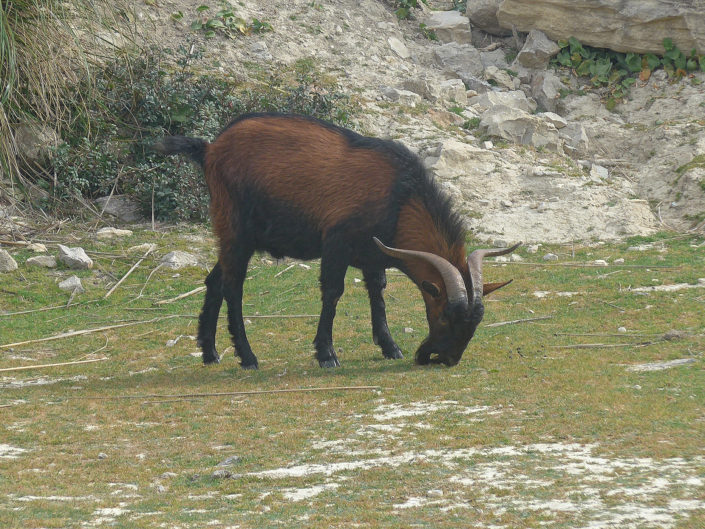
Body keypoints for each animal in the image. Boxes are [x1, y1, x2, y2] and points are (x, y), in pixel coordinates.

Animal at [154, 113, 519, 368]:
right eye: (443, 315)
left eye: (474, 324)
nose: (444, 358)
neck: (400, 196)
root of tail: (210, 149)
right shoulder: (336, 244)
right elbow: (333, 293)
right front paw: (326, 353)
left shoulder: (373, 254)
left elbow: (377, 294)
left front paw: (390, 346)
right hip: (235, 230)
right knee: (233, 286)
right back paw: (247, 356)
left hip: (238, 238)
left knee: (214, 281)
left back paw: (210, 352)